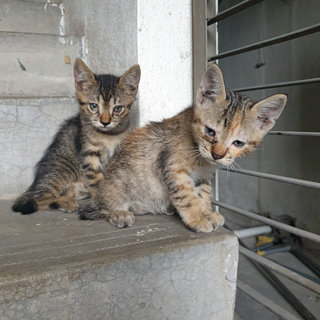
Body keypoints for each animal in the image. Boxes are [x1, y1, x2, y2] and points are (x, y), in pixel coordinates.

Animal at [12, 59, 140, 215]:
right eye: (94, 106)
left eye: (117, 108)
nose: (105, 122)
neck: (109, 136)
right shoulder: (88, 154)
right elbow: (97, 179)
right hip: (62, 169)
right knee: (38, 197)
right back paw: (64, 202)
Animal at [80, 63, 288, 232]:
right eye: (210, 131)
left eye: (238, 143)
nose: (217, 154)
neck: (202, 160)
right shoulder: (174, 168)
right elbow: (187, 196)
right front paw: (197, 219)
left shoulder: (203, 176)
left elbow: (204, 194)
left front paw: (206, 212)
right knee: (99, 207)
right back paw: (118, 212)